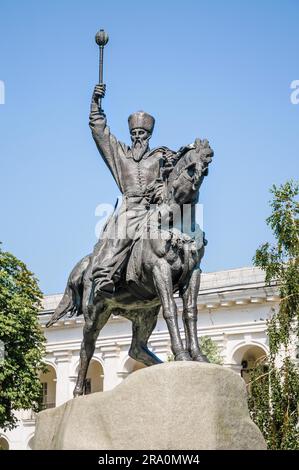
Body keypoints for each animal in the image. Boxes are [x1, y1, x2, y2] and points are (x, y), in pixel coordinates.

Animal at [46, 138, 213, 394]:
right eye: (190, 168)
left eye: (206, 166)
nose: (190, 195)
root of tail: (87, 264)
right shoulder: (160, 269)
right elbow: (171, 310)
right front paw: (182, 354)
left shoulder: (193, 273)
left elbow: (190, 312)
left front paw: (198, 356)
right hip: (95, 313)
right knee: (87, 347)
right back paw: (78, 392)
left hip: (145, 313)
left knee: (136, 348)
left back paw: (157, 367)